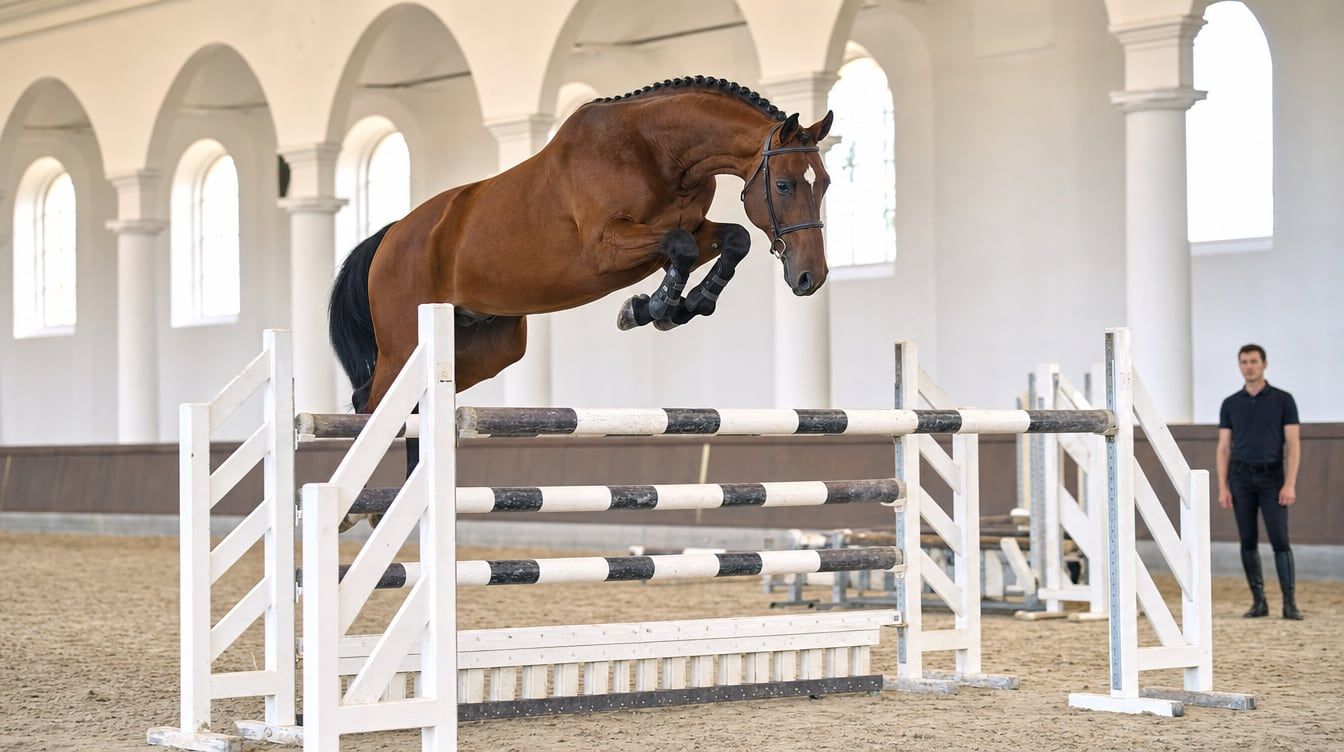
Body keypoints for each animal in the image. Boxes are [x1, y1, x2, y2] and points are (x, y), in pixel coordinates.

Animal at [330, 75, 833, 417]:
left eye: (825, 182)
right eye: (784, 185)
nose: (811, 277)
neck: (658, 150)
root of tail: (390, 236)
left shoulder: (691, 228)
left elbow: (732, 239)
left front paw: (681, 306)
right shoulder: (604, 248)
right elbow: (681, 248)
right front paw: (649, 308)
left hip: (484, 348)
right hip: (403, 347)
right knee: (372, 402)